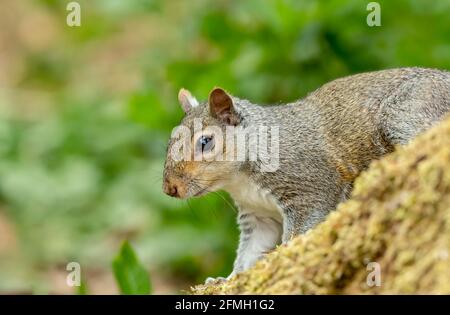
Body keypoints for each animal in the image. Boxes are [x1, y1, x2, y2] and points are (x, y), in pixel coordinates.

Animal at [163, 68, 450, 286]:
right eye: (170, 140)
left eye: (205, 141)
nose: (169, 189)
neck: (240, 180)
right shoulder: (257, 214)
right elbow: (251, 250)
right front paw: (228, 278)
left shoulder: (310, 186)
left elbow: (300, 228)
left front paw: (284, 254)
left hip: (406, 111)